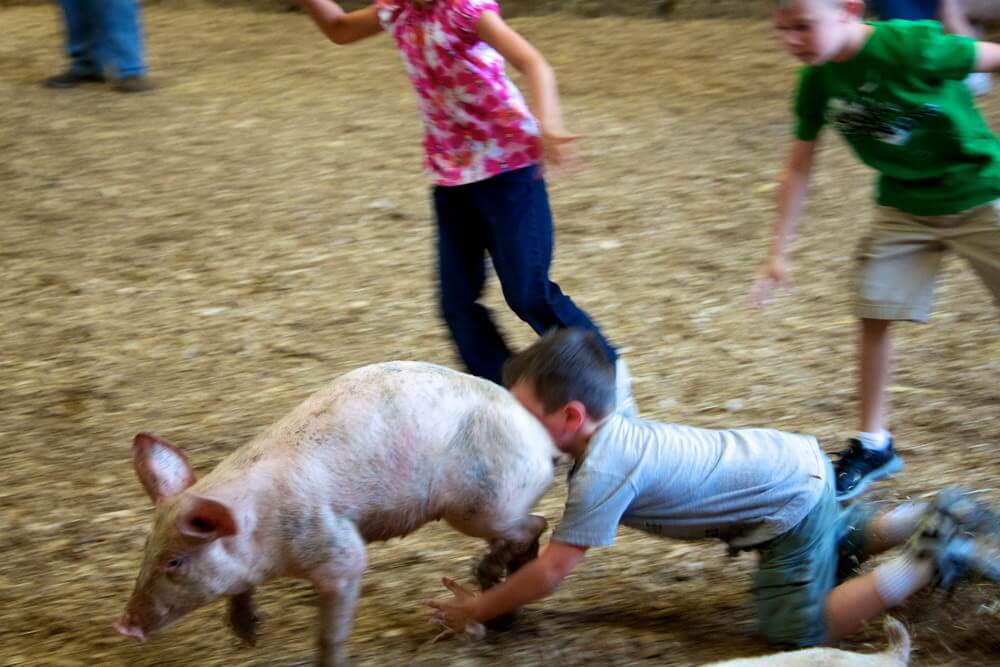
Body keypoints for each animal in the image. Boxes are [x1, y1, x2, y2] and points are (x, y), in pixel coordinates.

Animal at [115, 362, 564, 667]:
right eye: (146, 551)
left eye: (175, 562)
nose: (123, 625)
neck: (258, 534)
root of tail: (543, 440)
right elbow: (240, 590)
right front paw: (249, 637)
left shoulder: (336, 548)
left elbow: (332, 625)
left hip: (480, 506)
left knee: (534, 525)